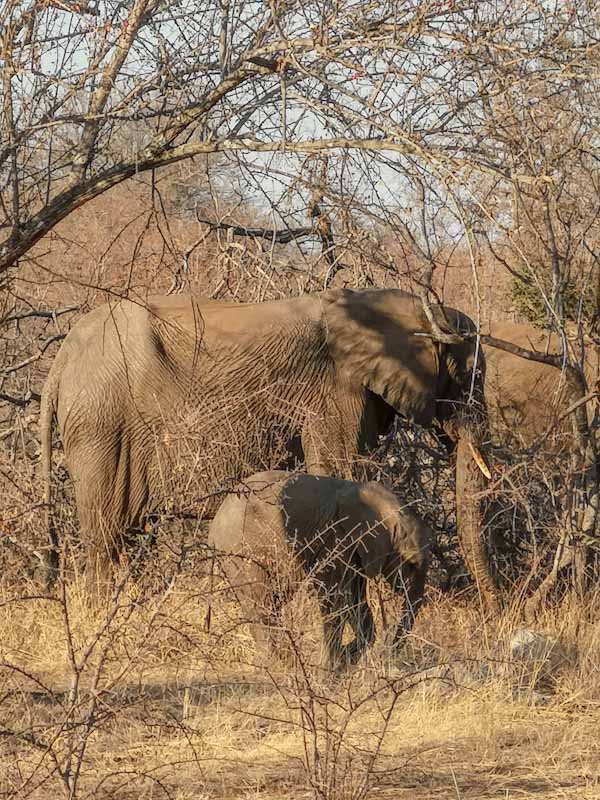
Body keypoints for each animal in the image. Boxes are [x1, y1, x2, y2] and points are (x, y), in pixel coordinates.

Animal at [41, 290, 492, 596]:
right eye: (468, 376)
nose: (493, 606)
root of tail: (59, 361)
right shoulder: (336, 395)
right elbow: (342, 472)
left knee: (126, 532)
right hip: (101, 421)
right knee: (105, 532)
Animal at [207, 468, 432, 668]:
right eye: (412, 564)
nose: (386, 656)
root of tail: (213, 530)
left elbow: (355, 600)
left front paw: (343, 661)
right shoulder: (335, 540)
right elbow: (334, 599)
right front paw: (329, 668)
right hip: (242, 551)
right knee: (261, 603)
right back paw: (280, 663)